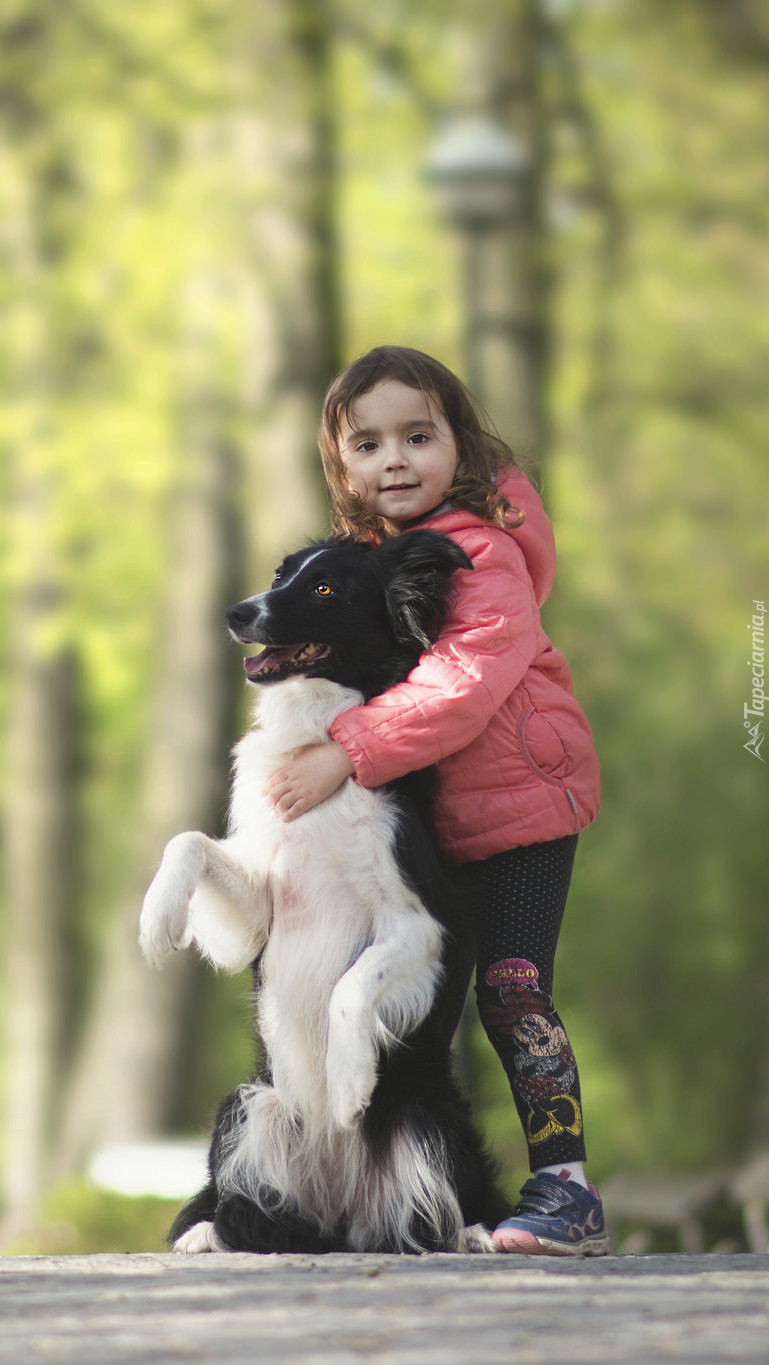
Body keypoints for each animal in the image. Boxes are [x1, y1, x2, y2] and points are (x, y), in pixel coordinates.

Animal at [140, 526, 510, 1250]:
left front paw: (348, 1084)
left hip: (425, 1119)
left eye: (324, 588)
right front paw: (157, 919)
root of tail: (341, 1214)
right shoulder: (257, 915)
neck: (314, 737)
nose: (235, 612)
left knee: (433, 1217)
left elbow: (352, 985)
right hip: (247, 1104)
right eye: (279, 575)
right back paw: (208, 1234)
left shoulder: (425, 921)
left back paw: (479, 1231)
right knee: (252, 1212)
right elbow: (189, 840)